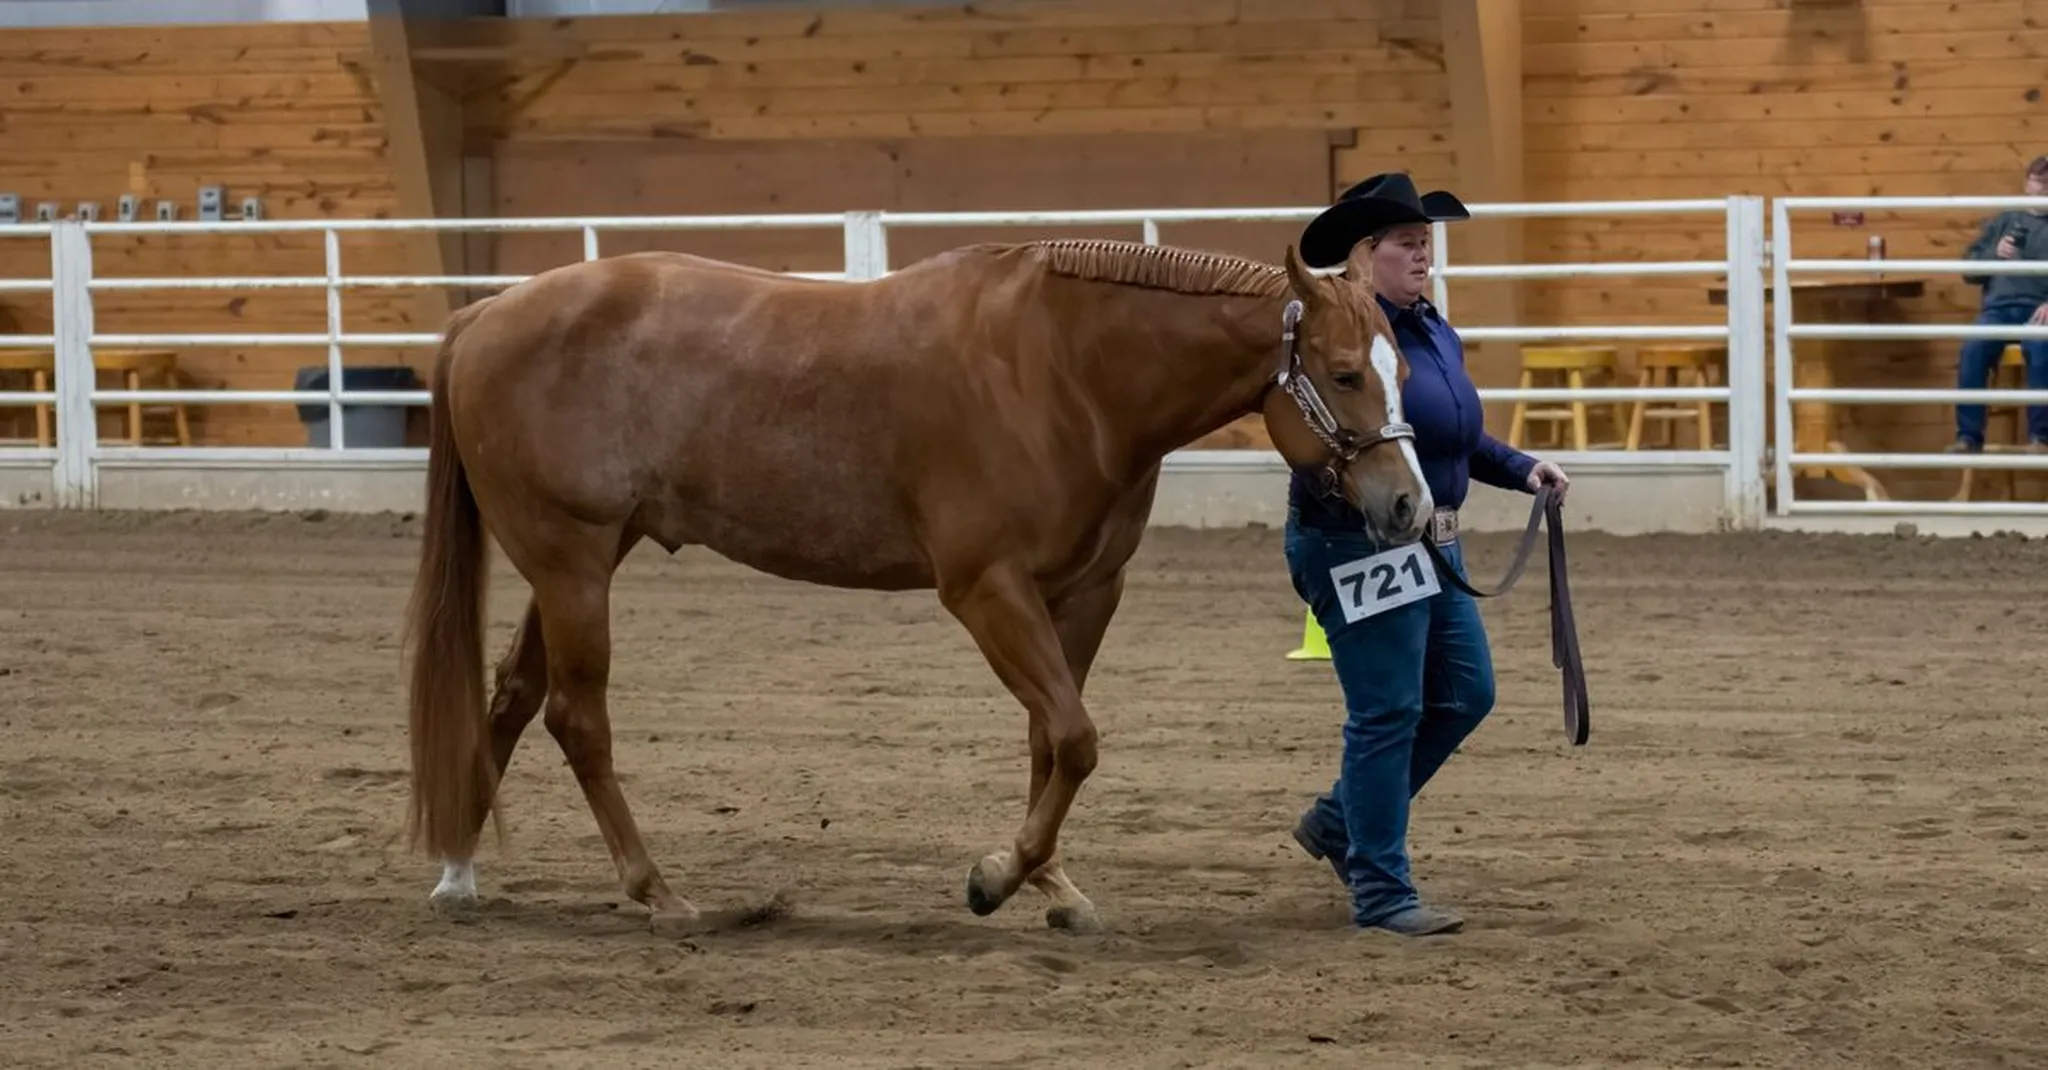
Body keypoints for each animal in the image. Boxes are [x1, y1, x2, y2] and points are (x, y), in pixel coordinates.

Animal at [403, 236, 1434, 934]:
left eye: (1401, 370)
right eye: (1346, 373)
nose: (1408, 507)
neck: (1063, 369)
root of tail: (484, 315)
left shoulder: (1084, 592)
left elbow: (1050, 741)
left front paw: (1052, 886)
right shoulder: (985, 589)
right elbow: (1076, 736)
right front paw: (997, 878)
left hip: (581, 559)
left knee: (511, 694)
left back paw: (457, 871)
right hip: (571, 561)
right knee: (576, 720)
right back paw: (656, 891)